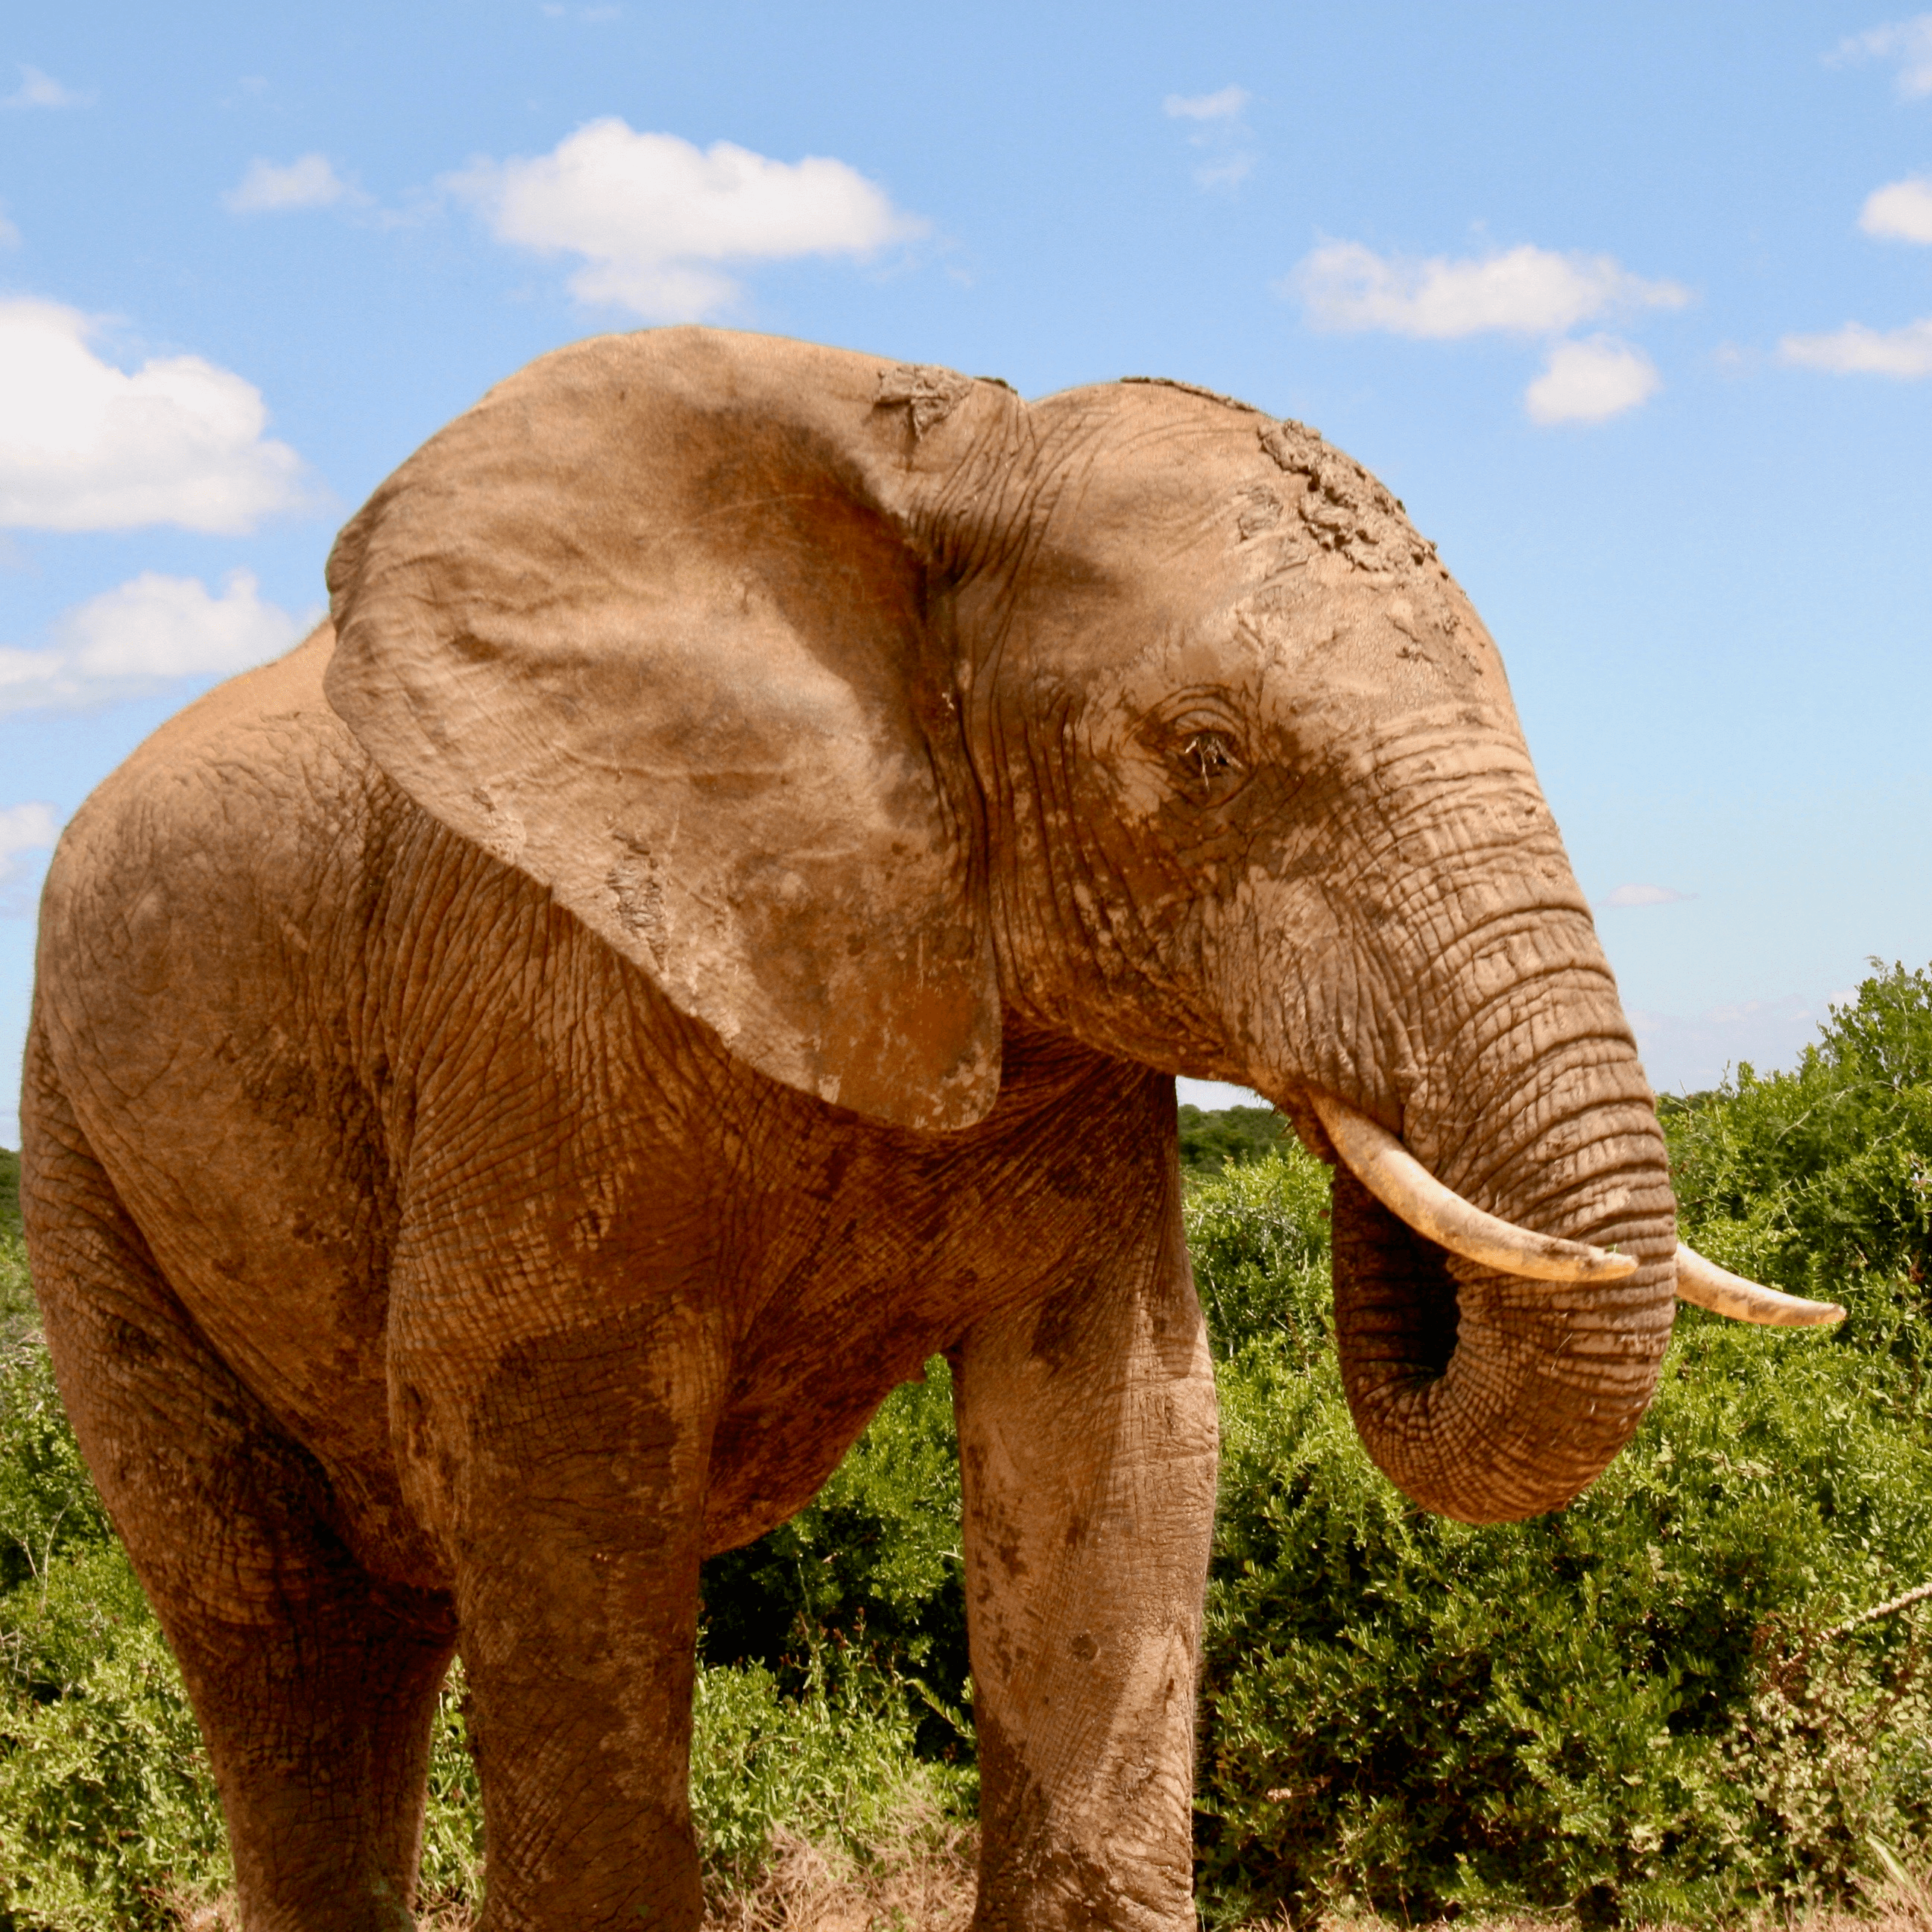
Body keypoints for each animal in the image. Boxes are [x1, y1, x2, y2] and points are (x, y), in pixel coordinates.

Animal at [19, 327, 1836, 1932]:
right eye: (1204, 755)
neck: (948, 469)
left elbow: (1114, 1432)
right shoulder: (532, 1004)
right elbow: (542, 1443)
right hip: (77, 1150)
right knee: (278, 1624)